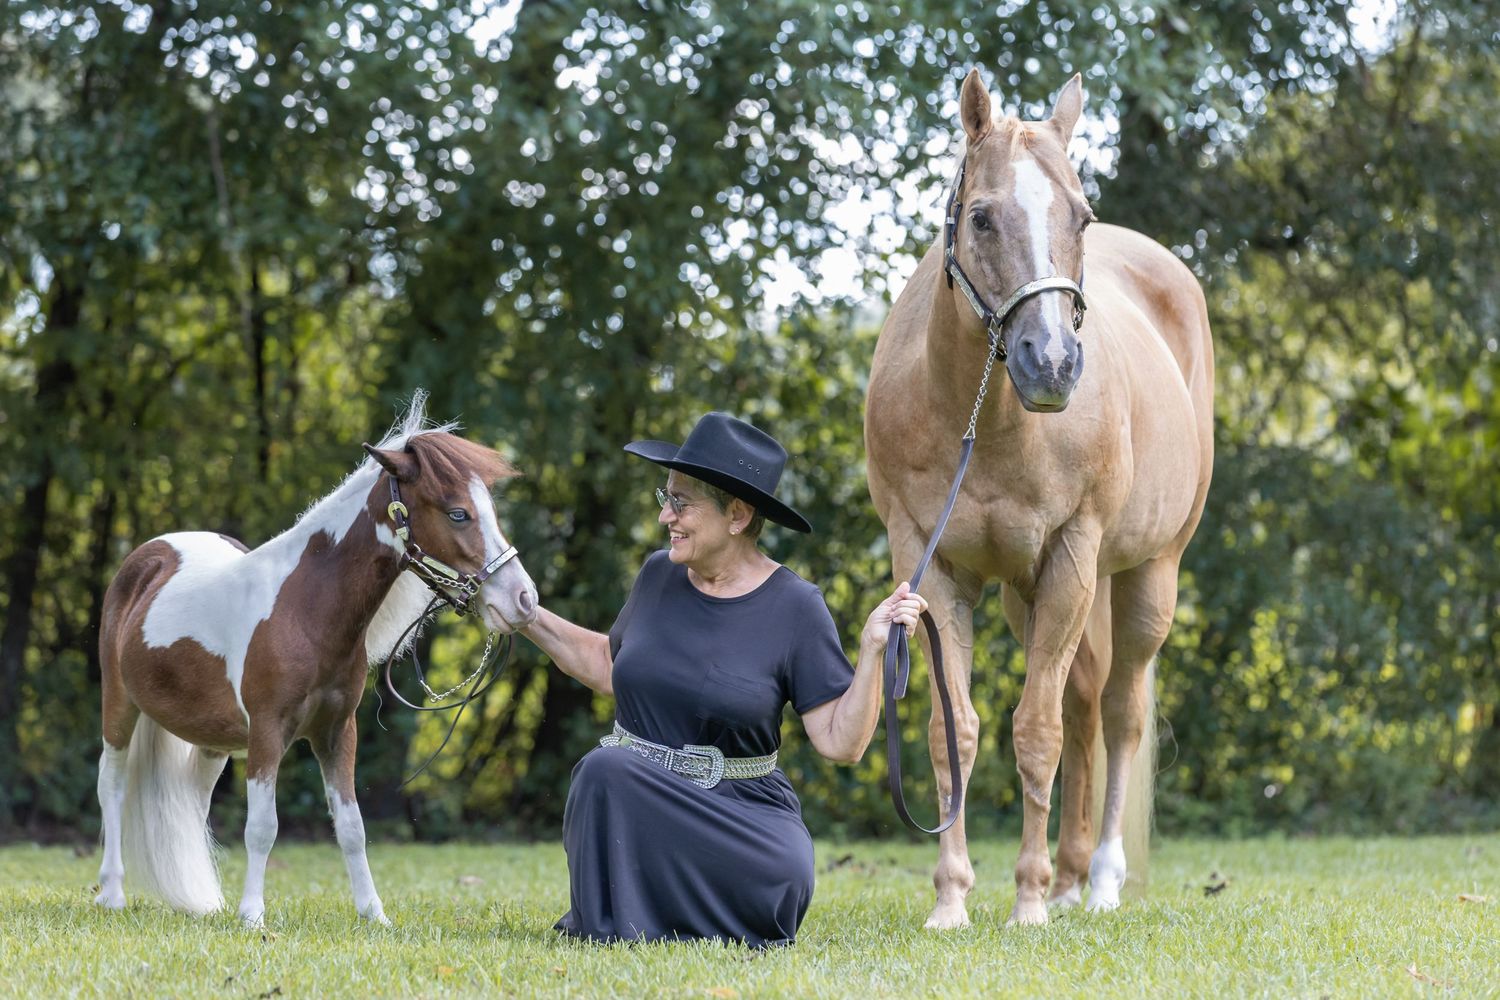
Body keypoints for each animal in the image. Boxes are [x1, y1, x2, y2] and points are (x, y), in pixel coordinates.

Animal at [93, 399, 539, 926]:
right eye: (458, 513)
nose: (523, 599)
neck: (304, 609)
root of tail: (148, 556)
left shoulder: (336, 732)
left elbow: (351, 826)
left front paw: (373, 914)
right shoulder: (268, 732)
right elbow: (262, 827)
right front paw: (252, 916)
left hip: (212, 741)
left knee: (192, 804)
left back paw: (204, 901)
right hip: (120, 709)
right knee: (112, 787)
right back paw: (112, 893)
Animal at [865, 69, 1214, 927]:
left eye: (1079, 217)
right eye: (982, 217)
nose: (1051, 363)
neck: (985, 421)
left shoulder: (1072, 556)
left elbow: (1036, 732)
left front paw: (1025, 901)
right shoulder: (933, 569)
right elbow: (952, 733)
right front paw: (954, 898)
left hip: (1147, 574)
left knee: (1118, 712)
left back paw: (1100, 883)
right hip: (1032, 597)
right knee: (1086, 706)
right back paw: (1070, 876)